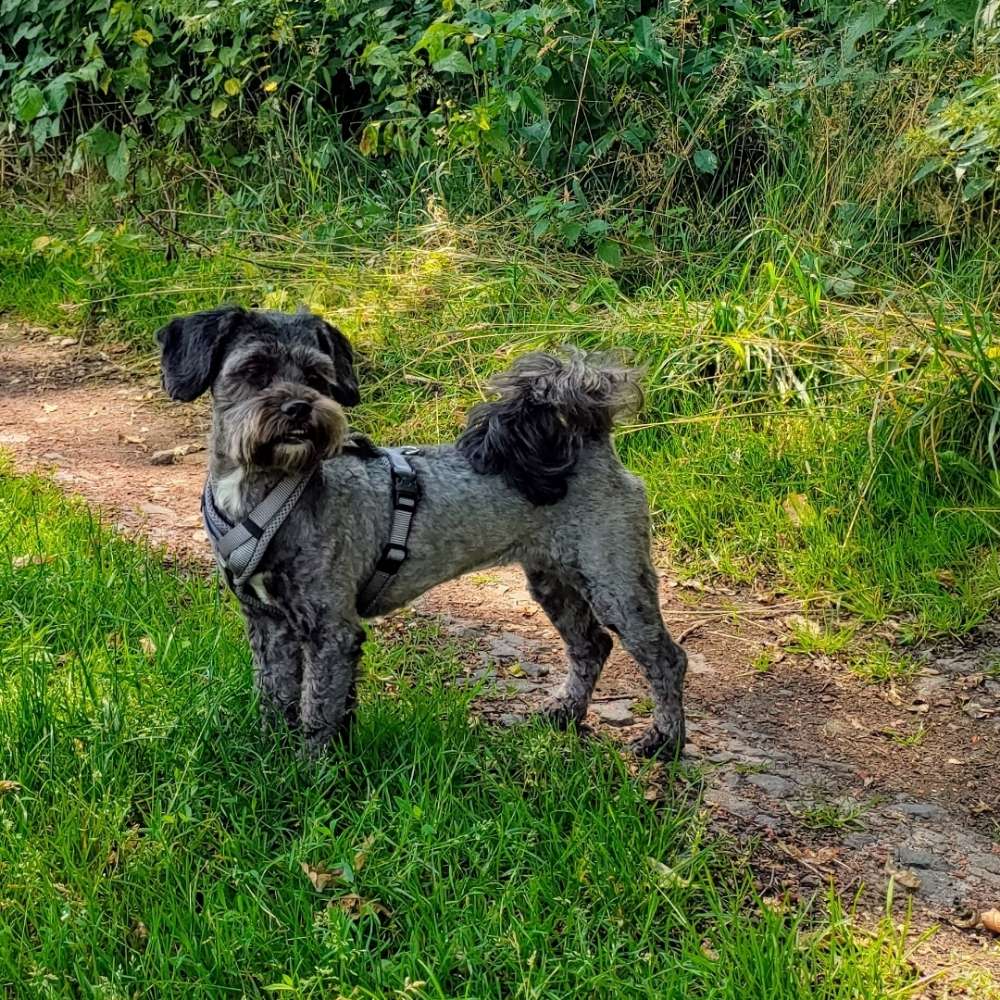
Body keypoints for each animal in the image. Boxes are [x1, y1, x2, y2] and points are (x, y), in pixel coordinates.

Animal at [158, 304, 688, 756]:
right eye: (254, 371)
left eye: (316, 377)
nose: (298, 408)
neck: (270, 487)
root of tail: (589, 438)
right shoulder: (269, 622)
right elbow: (276, 696)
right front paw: (271, 755)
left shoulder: (331, 630)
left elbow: (319, 710)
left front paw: (314, 776)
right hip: (552, 579)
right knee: (590, 645)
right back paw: (563, 713)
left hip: (615, 580)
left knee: (666, 658)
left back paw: (665, 741)